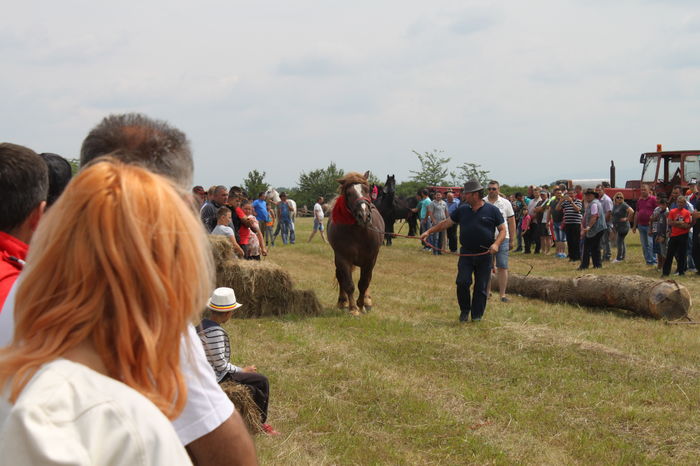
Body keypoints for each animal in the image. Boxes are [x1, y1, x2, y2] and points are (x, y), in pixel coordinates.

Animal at [327, 171, 384, 316]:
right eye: (349, 193)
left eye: (367, 190)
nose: (364, 215)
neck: (359, 232)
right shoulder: (343, 258)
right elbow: (348, 283)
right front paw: (353, 308)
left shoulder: (370, 259)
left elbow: (364, 283)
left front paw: (362, 305)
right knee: (340, 276)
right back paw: (343, 301)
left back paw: (367, 300)